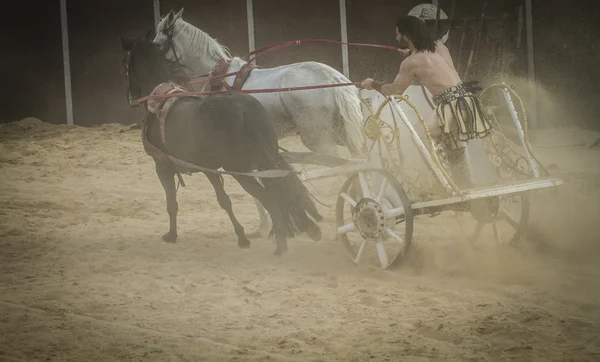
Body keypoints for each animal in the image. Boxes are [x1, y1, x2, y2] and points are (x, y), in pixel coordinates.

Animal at [121, 34, 324, 255]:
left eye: (126, 64)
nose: (130, 97)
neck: (162, 100)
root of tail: (245, 109)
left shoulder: (162, 165)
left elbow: (172, 203)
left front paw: (172, 235)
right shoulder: (208, 168)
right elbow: (224, 200)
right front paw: (241, 237)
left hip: (241, 171)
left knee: (270, 198)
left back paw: (280, 245)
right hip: (263, 161)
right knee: (282, 191)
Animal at [151, 9, 366, 238]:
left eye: (157, 40)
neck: (219, 77)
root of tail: (333, 77)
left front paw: (264, 224)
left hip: (318, 138)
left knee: (342, 168)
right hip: (344, 134)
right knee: (358, 164)